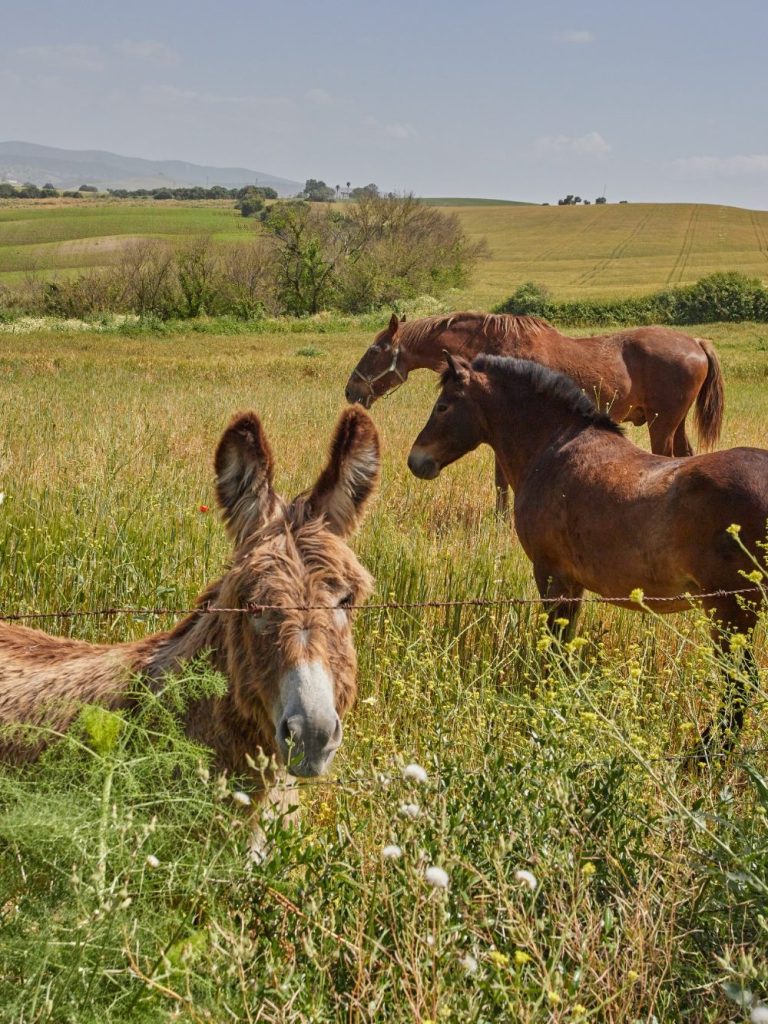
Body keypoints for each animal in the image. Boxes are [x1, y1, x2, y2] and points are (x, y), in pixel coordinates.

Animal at [346, 305, 724, 509]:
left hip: (662, 425)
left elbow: (501, 481)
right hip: (675, 425)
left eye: (376, 349)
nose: (351, 390)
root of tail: (695, 343)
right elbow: (500, 481)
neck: (495, 342)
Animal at [409, 356, 765, 749]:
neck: (553, 448)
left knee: (739, 685)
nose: (416, 460)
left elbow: (555, 648)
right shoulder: (573, 584)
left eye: (443, 406)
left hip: (729, 612)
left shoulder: (552, 576)